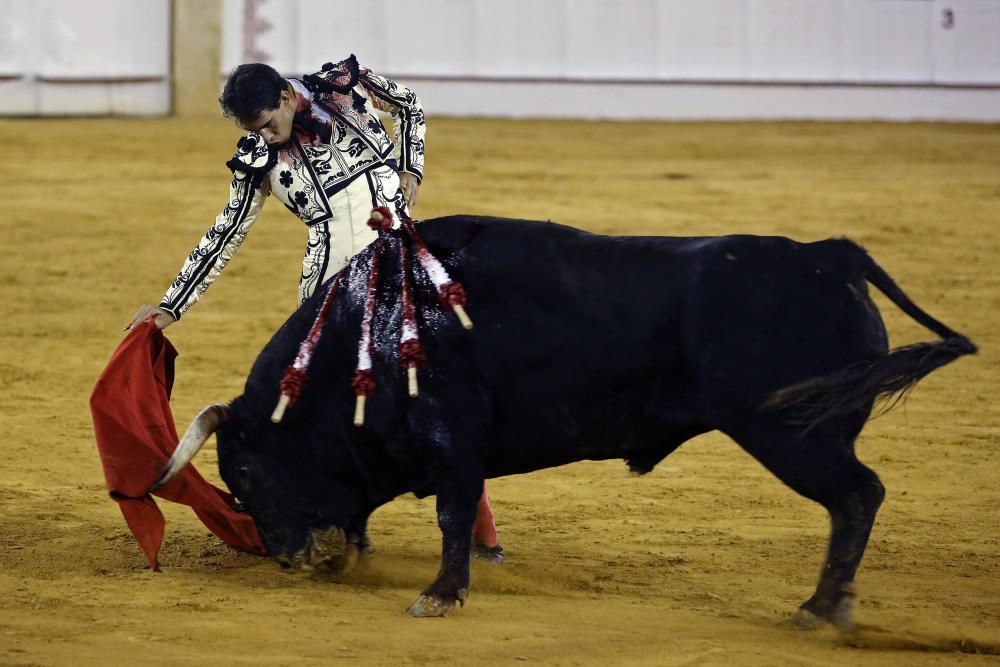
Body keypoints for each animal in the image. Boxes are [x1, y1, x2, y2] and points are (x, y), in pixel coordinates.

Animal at [150, 217, 976, 628]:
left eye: (244, 471)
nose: (291, 558)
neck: (371, 324)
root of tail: (829, 256)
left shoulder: (452, 434)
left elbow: (454, 513)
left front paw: (441, 594)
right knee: (855, 499)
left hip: (795, 432)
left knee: (857, 496)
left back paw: (819, 606)